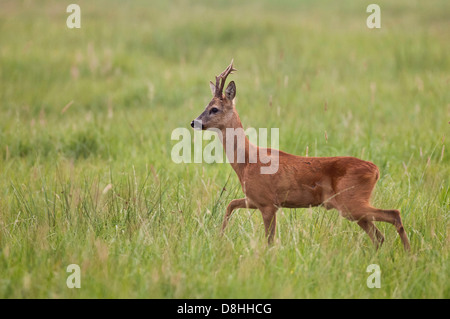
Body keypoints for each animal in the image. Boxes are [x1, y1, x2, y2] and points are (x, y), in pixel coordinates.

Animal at [190, 58, 412, 251]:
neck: (246, 162)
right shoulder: (255, 199)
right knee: (379, 236)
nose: (194, 122)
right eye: (206, 106)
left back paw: (410, 255)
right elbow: (230, 205)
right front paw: (219, 237)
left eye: (214, 109)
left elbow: (269, 240)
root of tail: (375, 170)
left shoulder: (268, 203)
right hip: (353, 207)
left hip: (351, 202)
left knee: (394, 215)